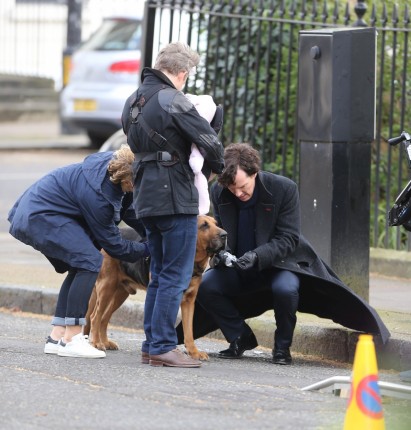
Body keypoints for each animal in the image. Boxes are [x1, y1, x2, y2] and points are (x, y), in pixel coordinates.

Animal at [84, 215, 227, 360]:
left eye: (216, 223)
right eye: (204, 225)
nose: (225, 235)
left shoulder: (188, 301)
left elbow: (189, 332)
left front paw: (194, 352)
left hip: (120, 294)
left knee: (104, 318)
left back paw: (105, 342)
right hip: (106, 288)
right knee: (95, 316)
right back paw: (97, 343)